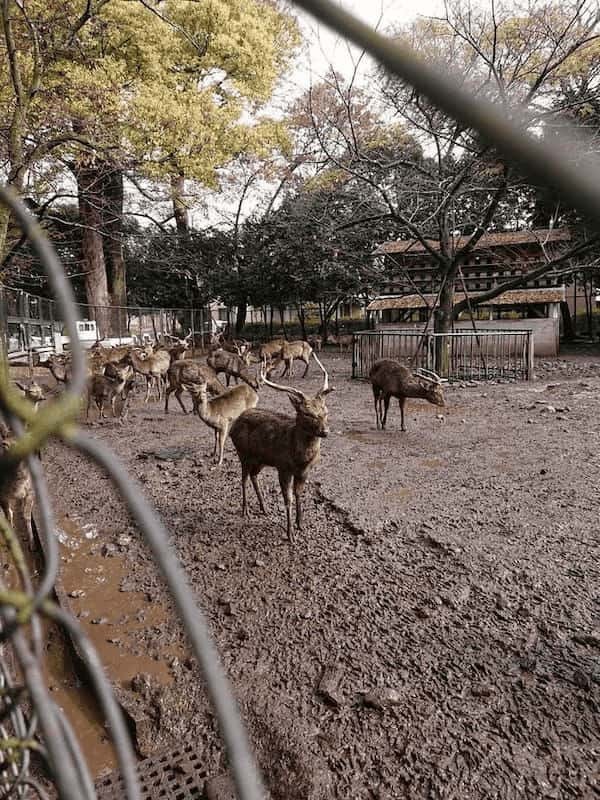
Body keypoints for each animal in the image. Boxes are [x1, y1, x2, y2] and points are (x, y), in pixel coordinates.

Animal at [229, 352, 332, 544]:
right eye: (306, 413)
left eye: (326, 411)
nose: (325, 431)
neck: (300, 459)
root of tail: (235, 423)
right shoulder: (283, 467)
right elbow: (288, 499)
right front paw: (290, 534)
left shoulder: (304, 471)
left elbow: (299, 494)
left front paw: (301, 524)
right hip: (242, 453)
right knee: (244, 478)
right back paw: (245, 510)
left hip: (260, 459)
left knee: (254, 476)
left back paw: (264, 507)